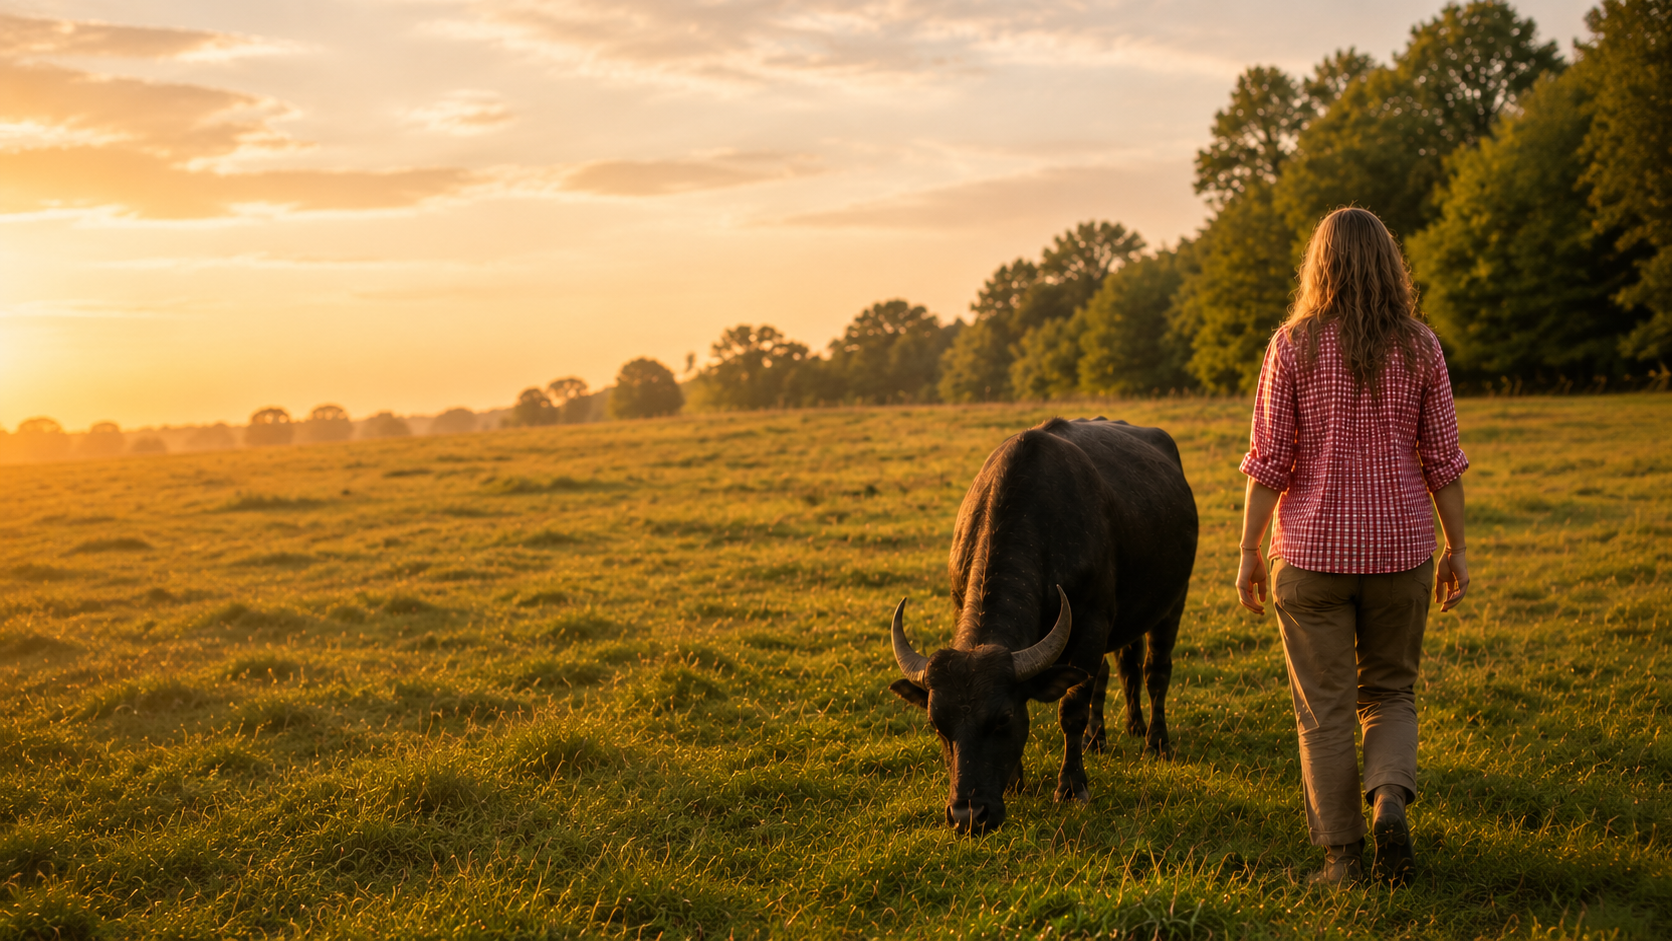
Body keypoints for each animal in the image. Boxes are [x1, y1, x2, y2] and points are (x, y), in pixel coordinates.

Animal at [888, 417, 1197, 833]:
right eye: (937, 723)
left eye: (1003, 718)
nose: (968, 814)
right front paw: (1016, 780)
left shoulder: (1092, 623)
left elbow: (1072, 708)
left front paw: (1071, 787)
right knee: (1119, 669)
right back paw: (1103, 737)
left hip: (1173, 601)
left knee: (1154, 671)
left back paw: (1154, 742)